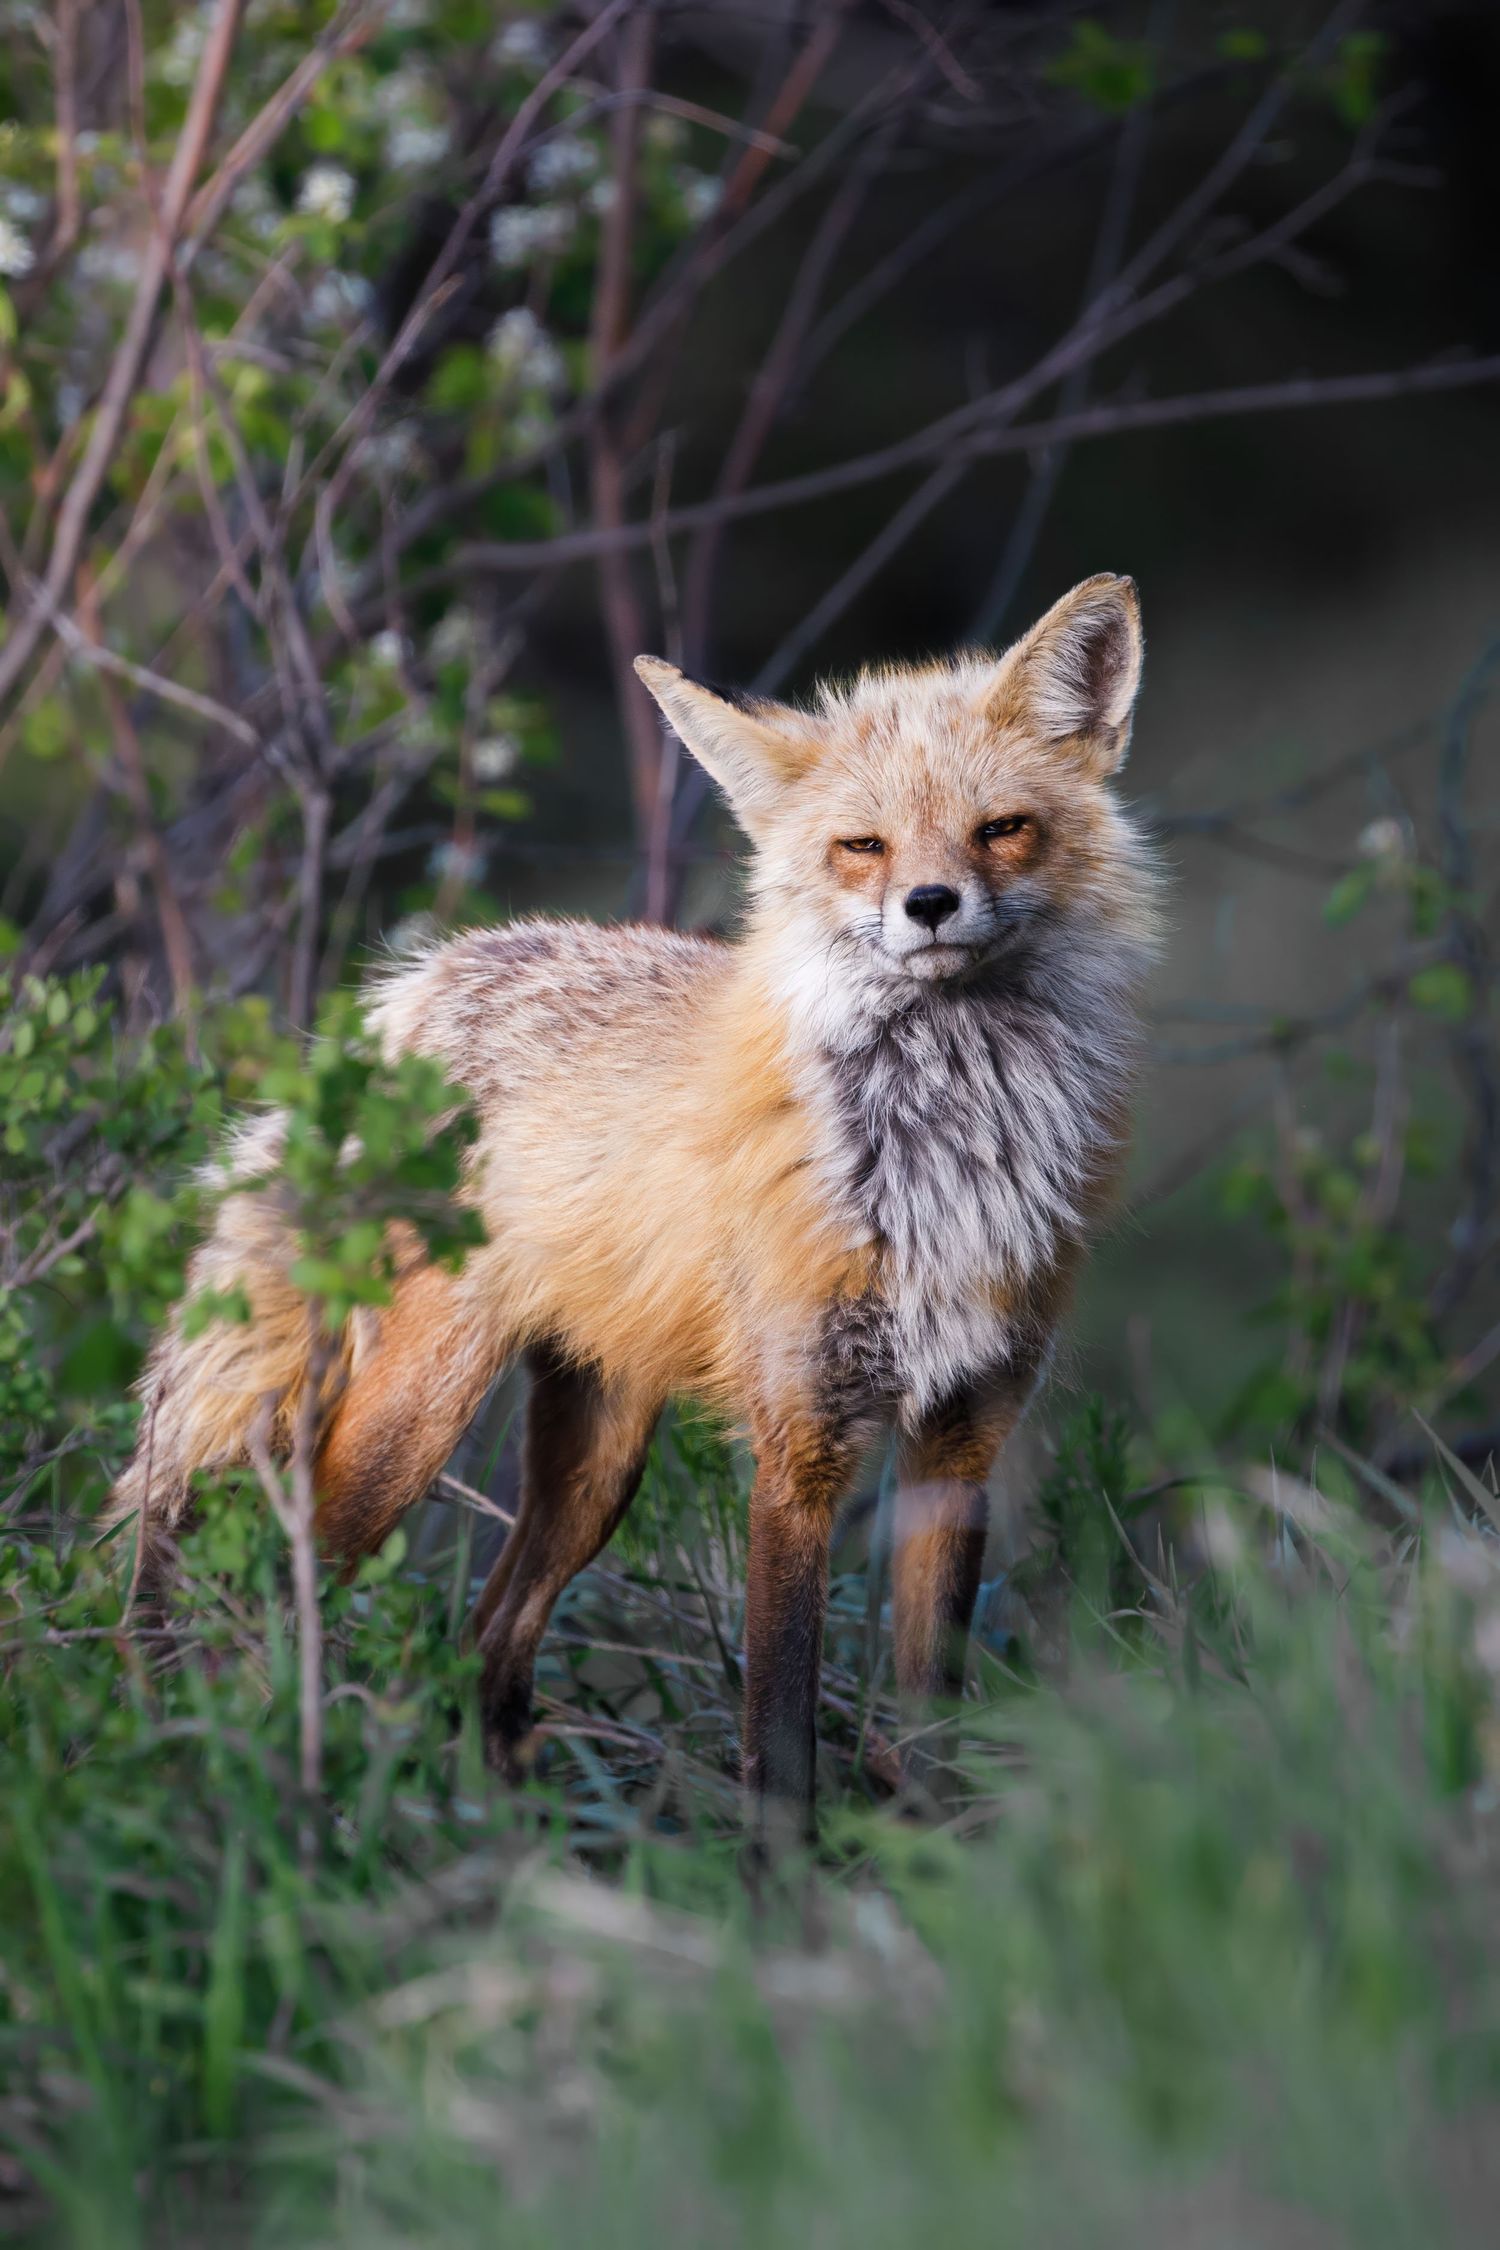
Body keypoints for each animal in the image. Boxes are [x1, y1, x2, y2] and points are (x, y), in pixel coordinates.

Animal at [111, 572, 1160, 1835]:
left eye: (1002, 828)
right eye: (861, 846)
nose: (930, 902)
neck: (939, 1149)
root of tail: (415, 990)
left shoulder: (963, 1435)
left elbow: (929, 1733)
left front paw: (934, 1862)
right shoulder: (798, 1446)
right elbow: (777, 1742)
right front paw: (779, 1888)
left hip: (596, 1463)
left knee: (488, 1640)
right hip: (412, 1421)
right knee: (279, 1603)